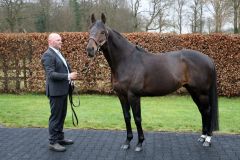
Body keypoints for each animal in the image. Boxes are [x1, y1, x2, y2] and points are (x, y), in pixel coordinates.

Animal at [86, 13, 219, 151]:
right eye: (89, 30)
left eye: (102, 32)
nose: (90, 49)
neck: (127, 60)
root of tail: (208, 59)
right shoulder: (121, 95)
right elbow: (127, 117)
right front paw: (127, 141)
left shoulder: (133, 95)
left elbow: (137, 118)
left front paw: (139, 143)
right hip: (194, 92)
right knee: (202, 111)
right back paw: (202, 137)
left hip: (202, 93)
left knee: (207, 111)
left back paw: (208, 140)